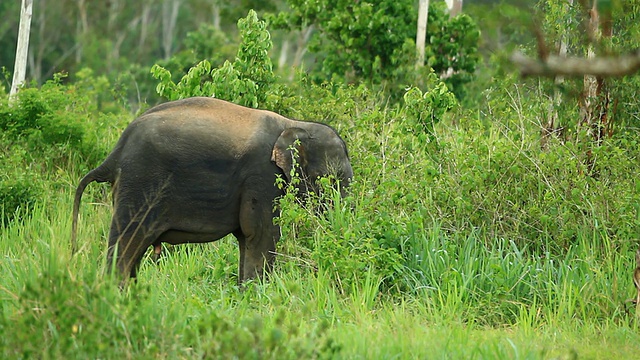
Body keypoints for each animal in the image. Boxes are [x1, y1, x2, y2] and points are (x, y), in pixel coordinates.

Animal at [72, 97, 352, 282]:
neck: (294, 123)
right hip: (139, 182)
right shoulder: (261, 175)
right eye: (332, 180)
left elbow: (246, 238)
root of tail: (114, 154)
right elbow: (261, 233)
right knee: (127, 244)